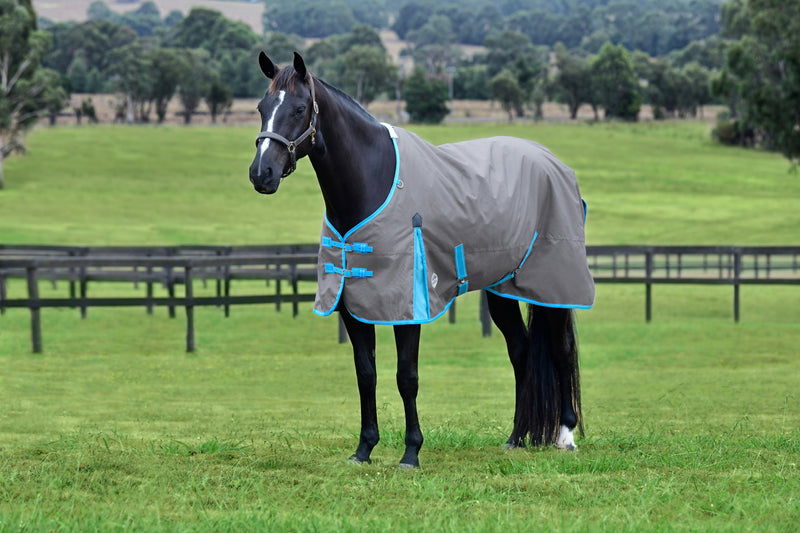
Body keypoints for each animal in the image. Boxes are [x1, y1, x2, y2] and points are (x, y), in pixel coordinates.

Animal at [248, 52, 595, 469]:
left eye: (299, 109)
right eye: (261, 108)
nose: (261, 173)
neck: (373, 182)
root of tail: (554, 163)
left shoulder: (408, 306)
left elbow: (406, 377)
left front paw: (411, 452)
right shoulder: (353, 305)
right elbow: (366, 374)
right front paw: (364, 449)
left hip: (552, 284)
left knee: (562, 350)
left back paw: (566, 435)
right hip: (502, 289)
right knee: (521, 351)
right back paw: (516, 438)